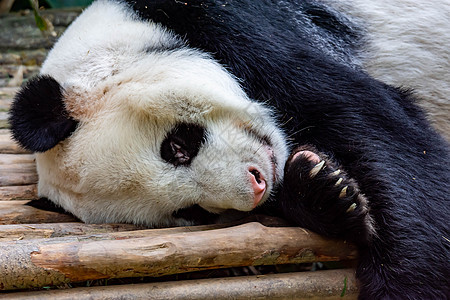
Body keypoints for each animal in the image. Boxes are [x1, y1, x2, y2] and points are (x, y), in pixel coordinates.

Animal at [7, 0, 450, 298]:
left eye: (177, 146)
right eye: (191, 212)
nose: (256, 185)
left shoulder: (234, 26)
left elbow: (376, 126)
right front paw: (326, 190)